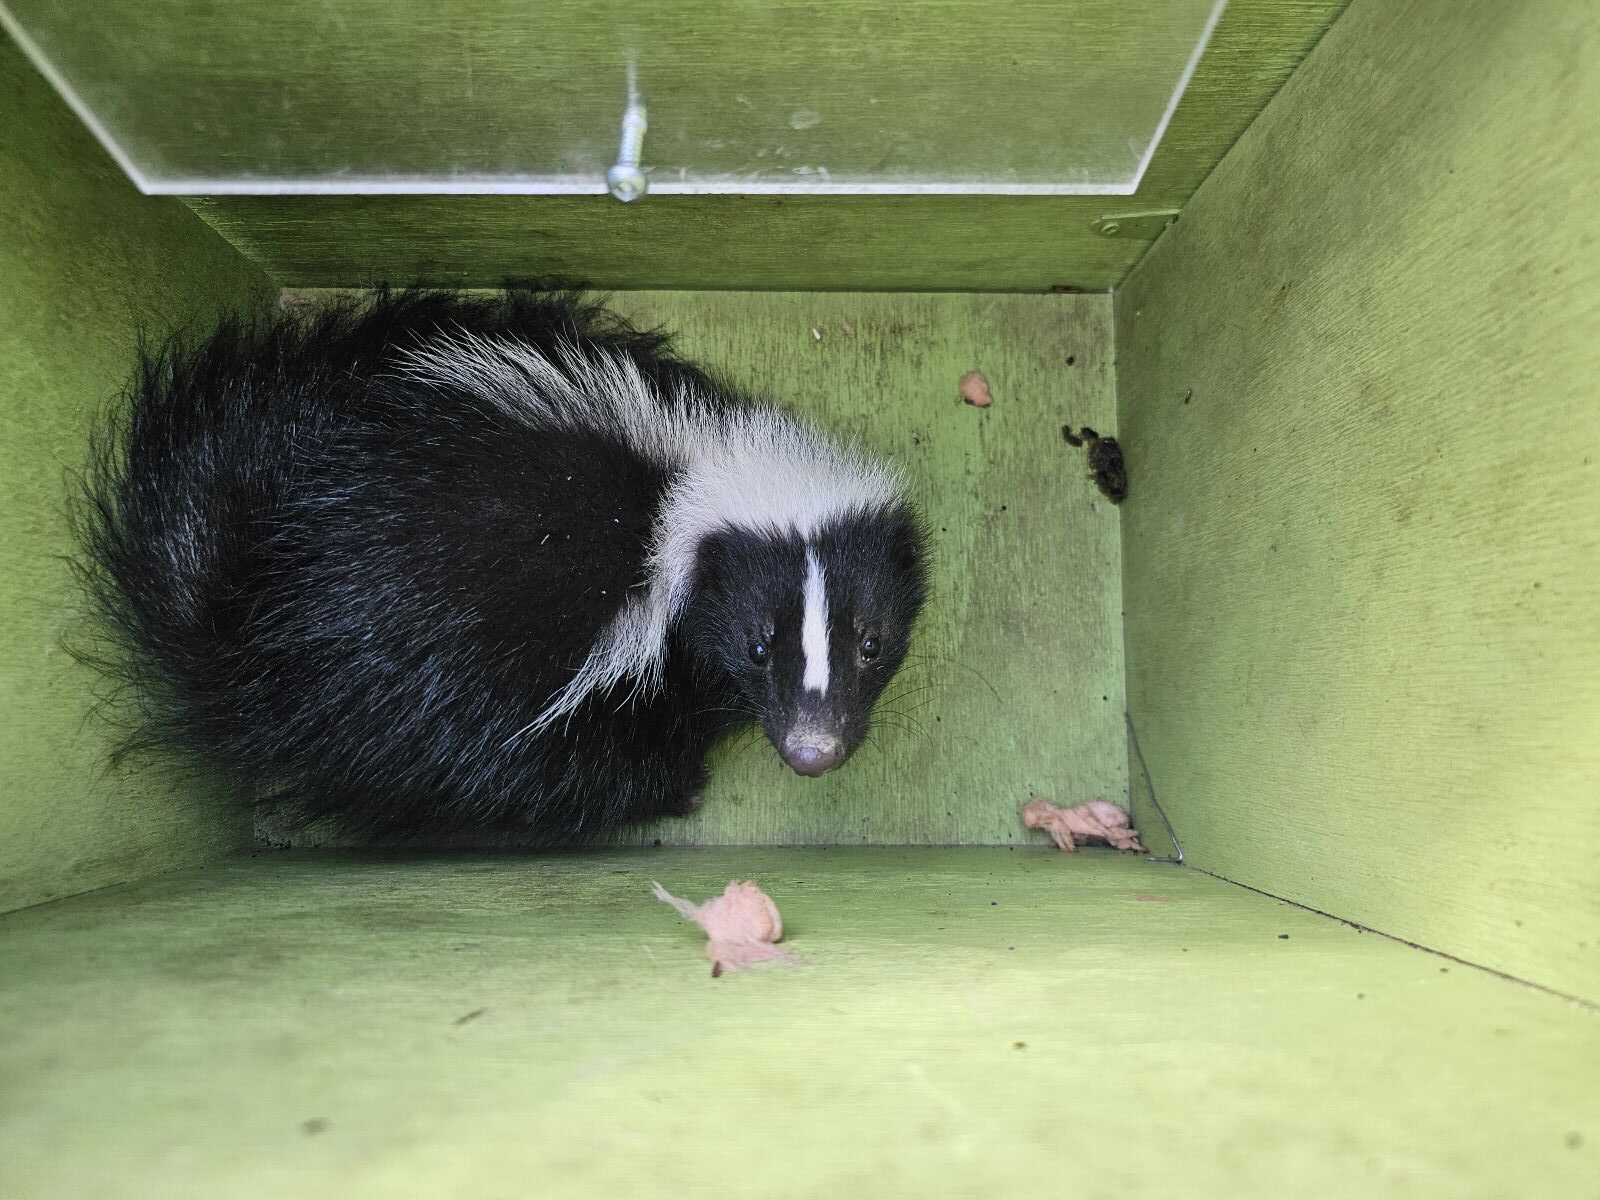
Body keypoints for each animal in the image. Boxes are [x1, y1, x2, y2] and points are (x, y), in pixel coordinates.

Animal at [78, 289, 928, 844]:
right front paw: (683, 783)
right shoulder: (618, 667)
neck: (677, 492)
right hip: (427, 711)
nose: (813, 750)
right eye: (755, 647)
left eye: (871, 642)